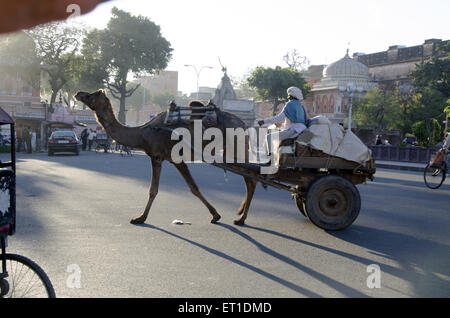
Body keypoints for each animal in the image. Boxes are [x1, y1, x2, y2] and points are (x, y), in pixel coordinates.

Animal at [74, 89, 256, 226]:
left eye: (93, 94)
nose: (78, 93)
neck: (143, 132)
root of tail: (244, 124)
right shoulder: (174, 159)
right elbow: (193, 188)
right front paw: (215, 215)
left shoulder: (157, 157)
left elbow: (153, 190)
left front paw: (140, 218)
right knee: (250, 179)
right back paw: (241, 215)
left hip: (236, 148)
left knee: (250, 180)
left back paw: (241, 218)